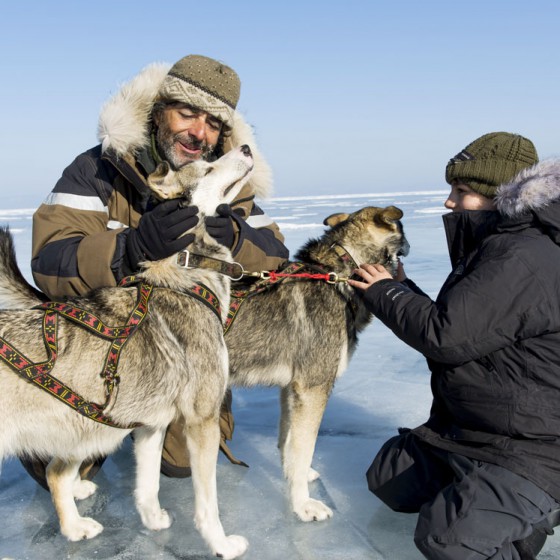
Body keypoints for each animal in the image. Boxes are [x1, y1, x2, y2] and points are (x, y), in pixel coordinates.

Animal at [224, 205, 409, 522]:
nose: (409, 247)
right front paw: (302, 505)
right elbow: (303, 449)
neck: (340, 273)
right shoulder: (312, 388)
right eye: (402, 231)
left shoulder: (291, 389)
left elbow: (288, 444)